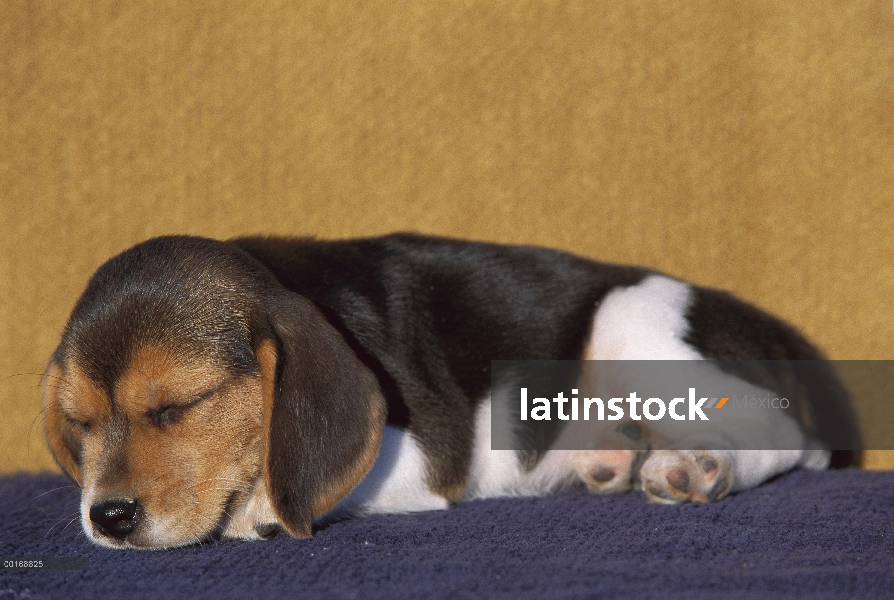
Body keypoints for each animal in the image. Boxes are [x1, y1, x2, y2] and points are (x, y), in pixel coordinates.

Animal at [42, 233, 860, 548]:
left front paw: (263, 509)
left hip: (634, 326)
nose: (108, 517)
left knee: (789, 441)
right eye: (79, 423)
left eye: (178, 408)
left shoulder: (425, 453)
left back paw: (695, 467)